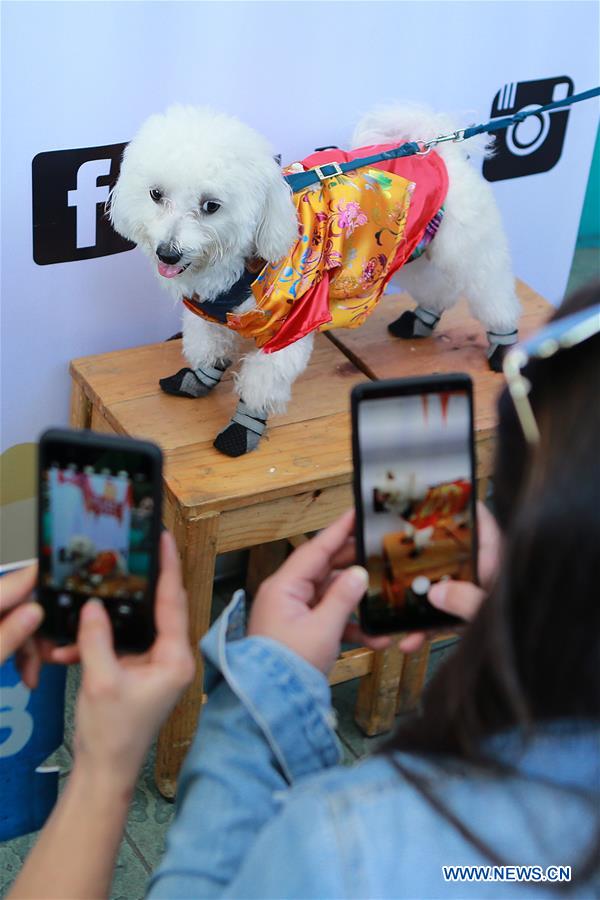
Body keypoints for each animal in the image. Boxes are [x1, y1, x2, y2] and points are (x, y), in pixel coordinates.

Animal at [111, 105, 520, 458]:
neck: (241, 260)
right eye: (155, 194)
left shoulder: (293, 325)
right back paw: (422, 319)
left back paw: (503, 344)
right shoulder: (205, 310)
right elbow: (207, 349)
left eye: (211, 206)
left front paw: (242, 429)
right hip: (410, 247)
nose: (168, 253)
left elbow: (262, 383)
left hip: (468, 246)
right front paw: (199, 379)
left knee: (491, 290)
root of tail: (434, 148)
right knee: (438, 287)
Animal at [356, 384, 474, 632]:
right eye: (379, 473)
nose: (375, 488)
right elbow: (409, 531)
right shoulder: (410, 522)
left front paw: (415, 550)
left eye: (391, 475)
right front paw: (406, 539)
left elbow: (420, 539)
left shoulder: (425, 523)